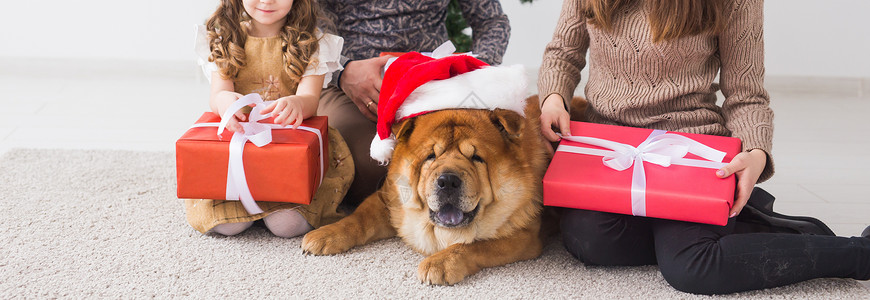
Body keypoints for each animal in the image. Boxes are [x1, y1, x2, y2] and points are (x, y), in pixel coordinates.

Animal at [304, 97, 548, 284]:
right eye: (431, 155)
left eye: (476, 157)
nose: (448, 180)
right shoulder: (387, 200)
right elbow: (357, 219)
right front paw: (324, 234)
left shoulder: (525, 235)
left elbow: (475, 244)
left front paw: (440, 263)